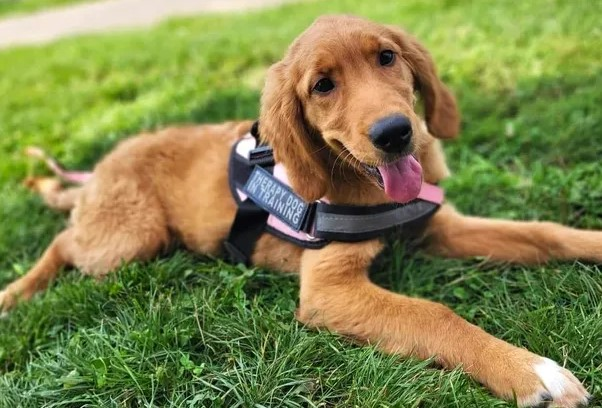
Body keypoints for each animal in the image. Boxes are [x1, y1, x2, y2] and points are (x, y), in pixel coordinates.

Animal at [2, 14, 596, 406]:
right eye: (323, 86)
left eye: (387, 57)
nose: (396, 134)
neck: (364, 188)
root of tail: (101, 168)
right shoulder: (329, 289)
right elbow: (433, 314)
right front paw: (529, 372)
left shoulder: (438, 228)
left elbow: (545, 233)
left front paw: (594, 243)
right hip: (130, 239)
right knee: (65, 241)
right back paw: (16, 292)